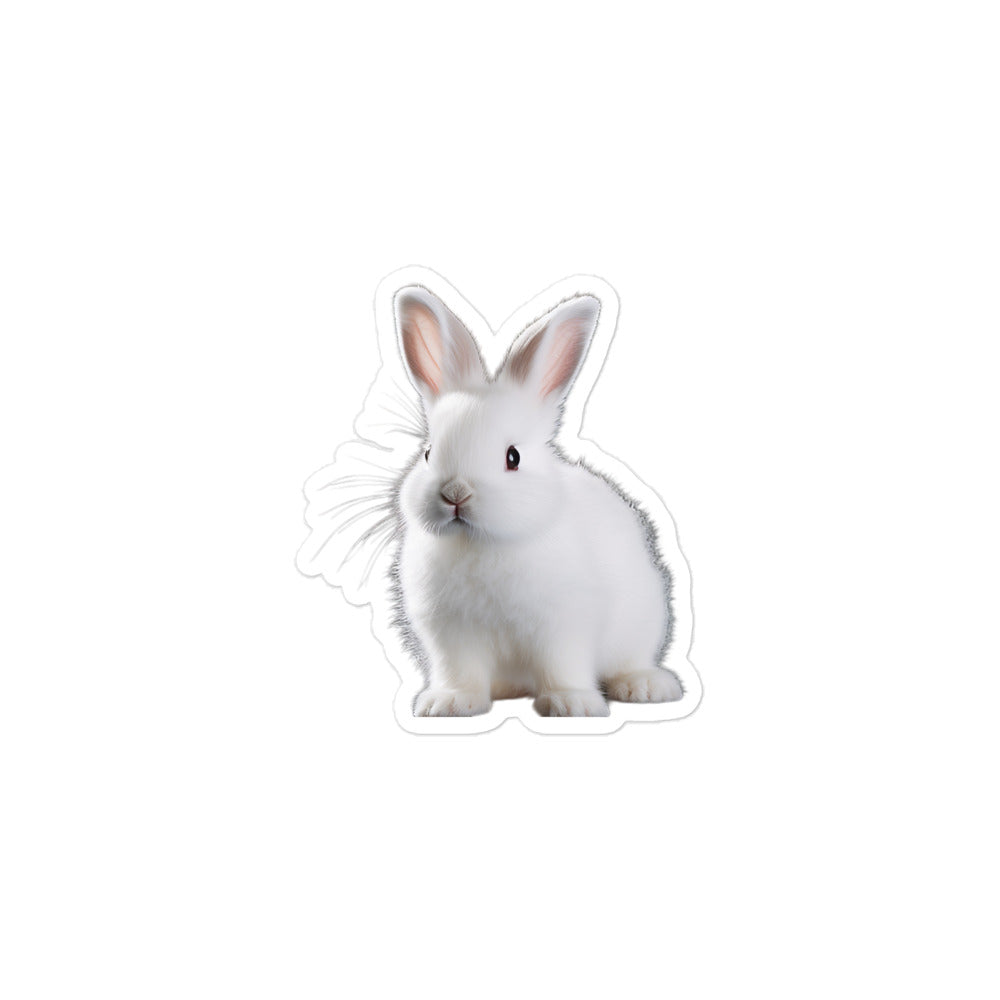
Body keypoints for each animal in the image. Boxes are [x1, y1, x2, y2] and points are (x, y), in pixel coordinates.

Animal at [392, 285, 683, 718]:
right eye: (428, 453)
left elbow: (563, 666)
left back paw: (646, 687)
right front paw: (449, 703)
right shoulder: (450, 636)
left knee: (630, 662)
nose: (455, 494)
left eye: (512, 457)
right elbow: (459, 672)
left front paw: (572, 704)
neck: (482, 543)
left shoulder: (564, 627)